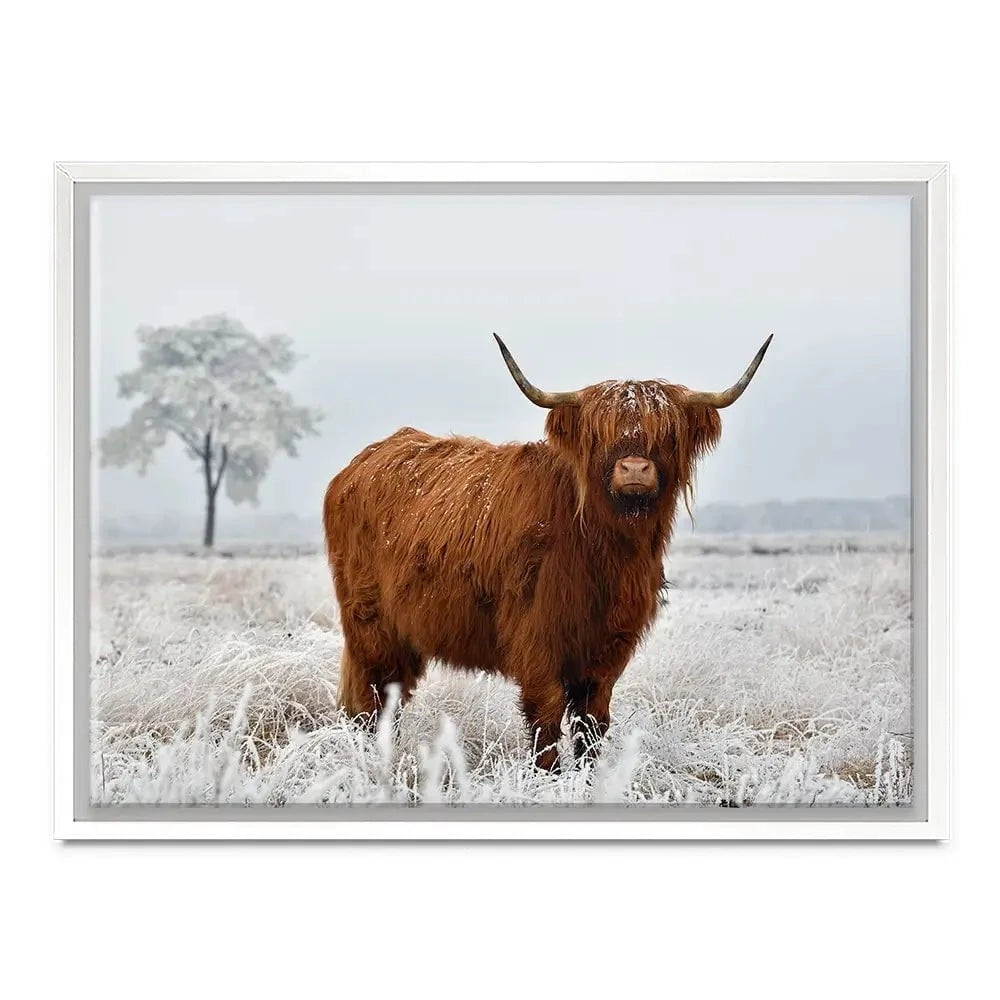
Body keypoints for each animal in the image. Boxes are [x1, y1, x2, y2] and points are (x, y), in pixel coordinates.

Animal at [323, 333, 772, 770]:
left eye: (666, 434)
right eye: (599, 434)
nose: (634, 469)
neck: (606, 551)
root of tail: (360, 463)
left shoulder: (609, 647)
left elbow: (593, 722)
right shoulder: (536, 637)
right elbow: (547, 716)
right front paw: (549, 777)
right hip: (371, 626)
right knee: (372, 699)